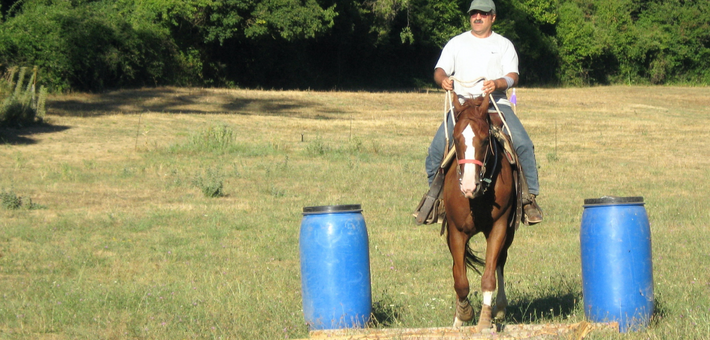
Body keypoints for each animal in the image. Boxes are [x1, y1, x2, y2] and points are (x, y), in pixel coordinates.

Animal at [448, 92, 520, 330]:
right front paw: (463, 314)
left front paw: (485, 320)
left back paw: (499, 308)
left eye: (483, 139)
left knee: (499, 262)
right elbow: (460, 280)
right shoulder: (456, 232)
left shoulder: (499, 227)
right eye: (456, 138)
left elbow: (489, 276)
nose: (469, 186)